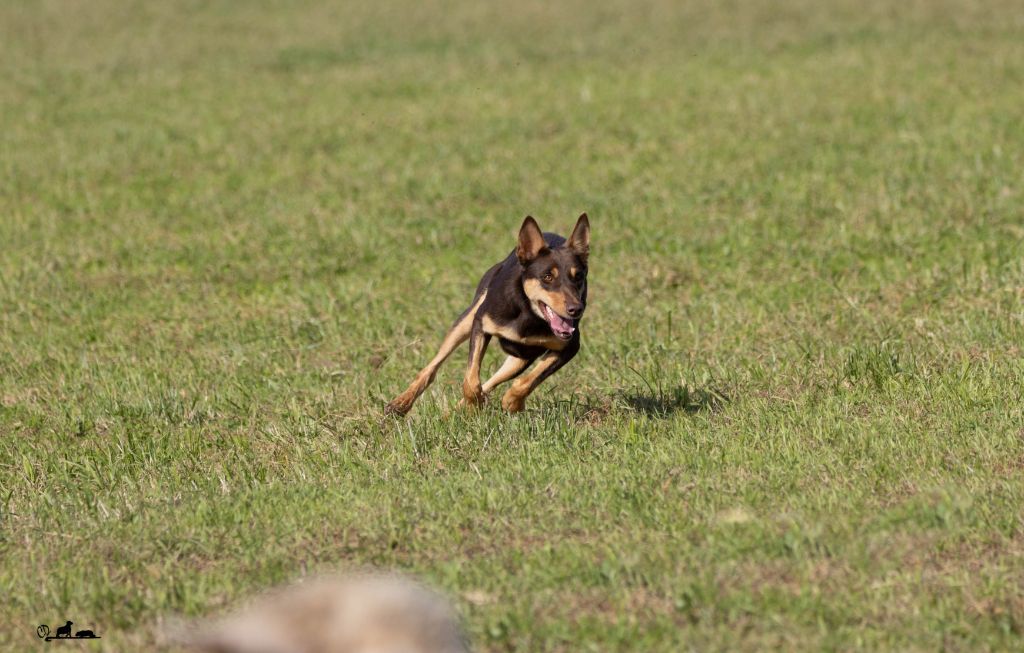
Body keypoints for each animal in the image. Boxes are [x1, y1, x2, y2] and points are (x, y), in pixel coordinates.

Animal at [385, 215, 593, 419]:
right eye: (547, 277)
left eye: (578, 277)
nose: (576, 309)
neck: (528, 313)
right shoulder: (480, 324)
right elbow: (470, 379)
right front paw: (474, 403)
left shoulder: (569, 347)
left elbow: (528, 380)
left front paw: (511, 402)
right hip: (468, 318)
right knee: (433, 366)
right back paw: (400, 404)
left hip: (519, 359)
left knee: (494, 380)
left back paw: (455, 411)